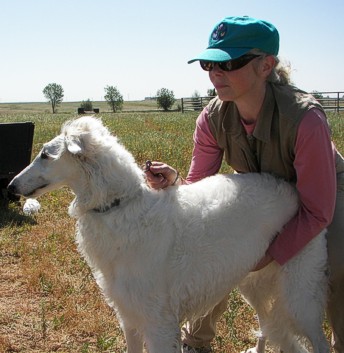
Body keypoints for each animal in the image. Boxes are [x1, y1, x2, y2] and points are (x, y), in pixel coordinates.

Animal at [8, 117, 330, 350]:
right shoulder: (129, 317)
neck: (121, 205)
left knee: (318, 340)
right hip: (253, 284)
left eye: (45, 154)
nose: (11, 186)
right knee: (270, 327)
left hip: (300, 297)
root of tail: (293, 190)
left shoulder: (159, 324)